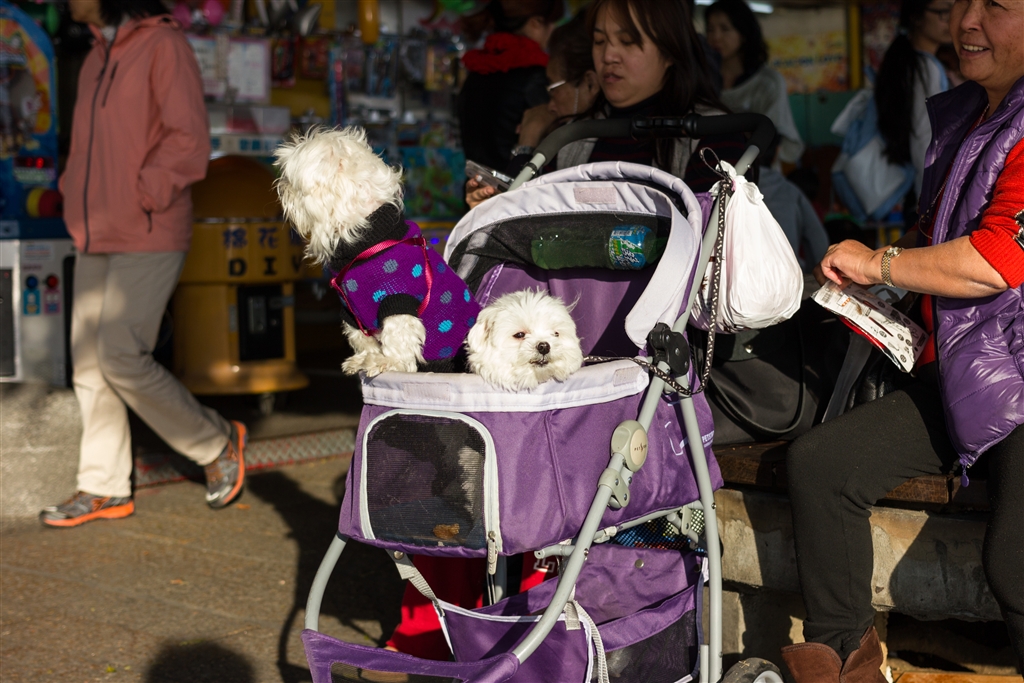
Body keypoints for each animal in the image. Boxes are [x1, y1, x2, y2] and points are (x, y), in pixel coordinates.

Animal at [275, 127, 481, 376]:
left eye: (291, 181)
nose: (281, 187)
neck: (366, 245)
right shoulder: (351, 313)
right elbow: (361, 339)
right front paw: (364, 359)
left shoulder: (398, 302)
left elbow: (398, 339)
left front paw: (389, 363)